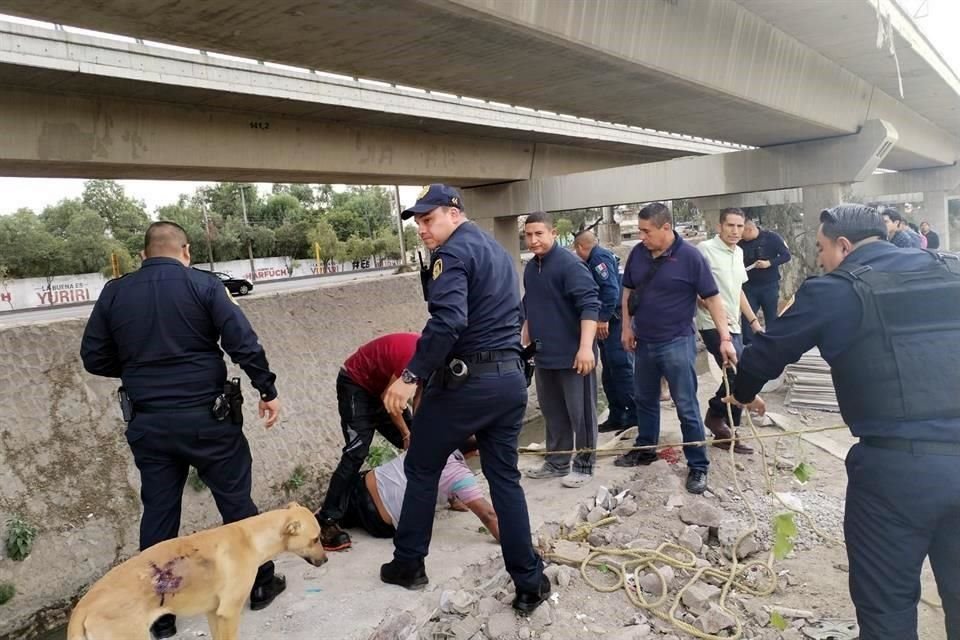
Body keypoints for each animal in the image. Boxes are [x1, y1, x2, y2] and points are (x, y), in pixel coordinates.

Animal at [67, 502, 328, 640]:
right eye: (316, 539)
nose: (326, 559)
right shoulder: (229, 613)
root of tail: (83, 606)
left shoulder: (214, 612)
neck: (251, 538)